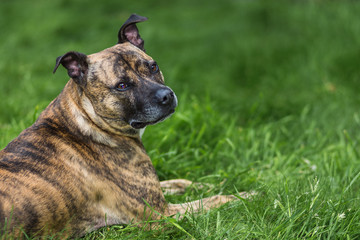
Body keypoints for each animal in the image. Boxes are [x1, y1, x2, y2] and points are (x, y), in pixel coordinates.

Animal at [0, 15, 240, 238]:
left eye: (153, 67)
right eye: (122, 86)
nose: (166, 96)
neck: (88, 123)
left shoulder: (154, 191)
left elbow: (180, 182)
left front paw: (215, 182)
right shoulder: (161, 214)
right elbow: (215, 200)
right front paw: (245, 195)